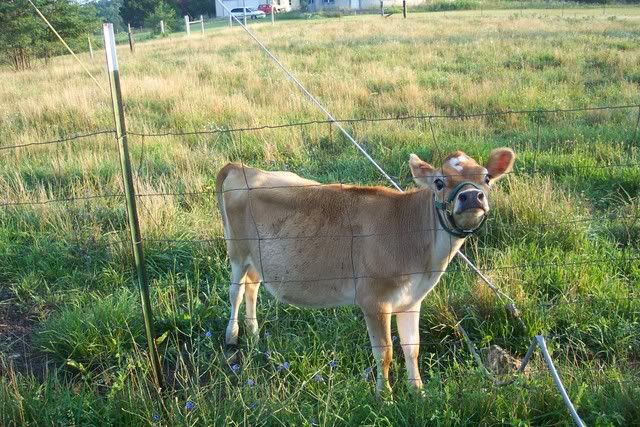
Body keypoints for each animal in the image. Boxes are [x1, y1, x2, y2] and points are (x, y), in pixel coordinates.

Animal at [215, 148, 515, 393]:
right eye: (439, 182)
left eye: (487, 178)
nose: (471, 196)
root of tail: (242, 167)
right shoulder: (374, 300)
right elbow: (384, 353)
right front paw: (385, 398)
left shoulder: (411, 300)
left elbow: (412, 348)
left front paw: (418, 392)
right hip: (237, 252)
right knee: (235, 292)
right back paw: (232, 337)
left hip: (258, 259)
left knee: (252, 287)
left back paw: (254, 333)